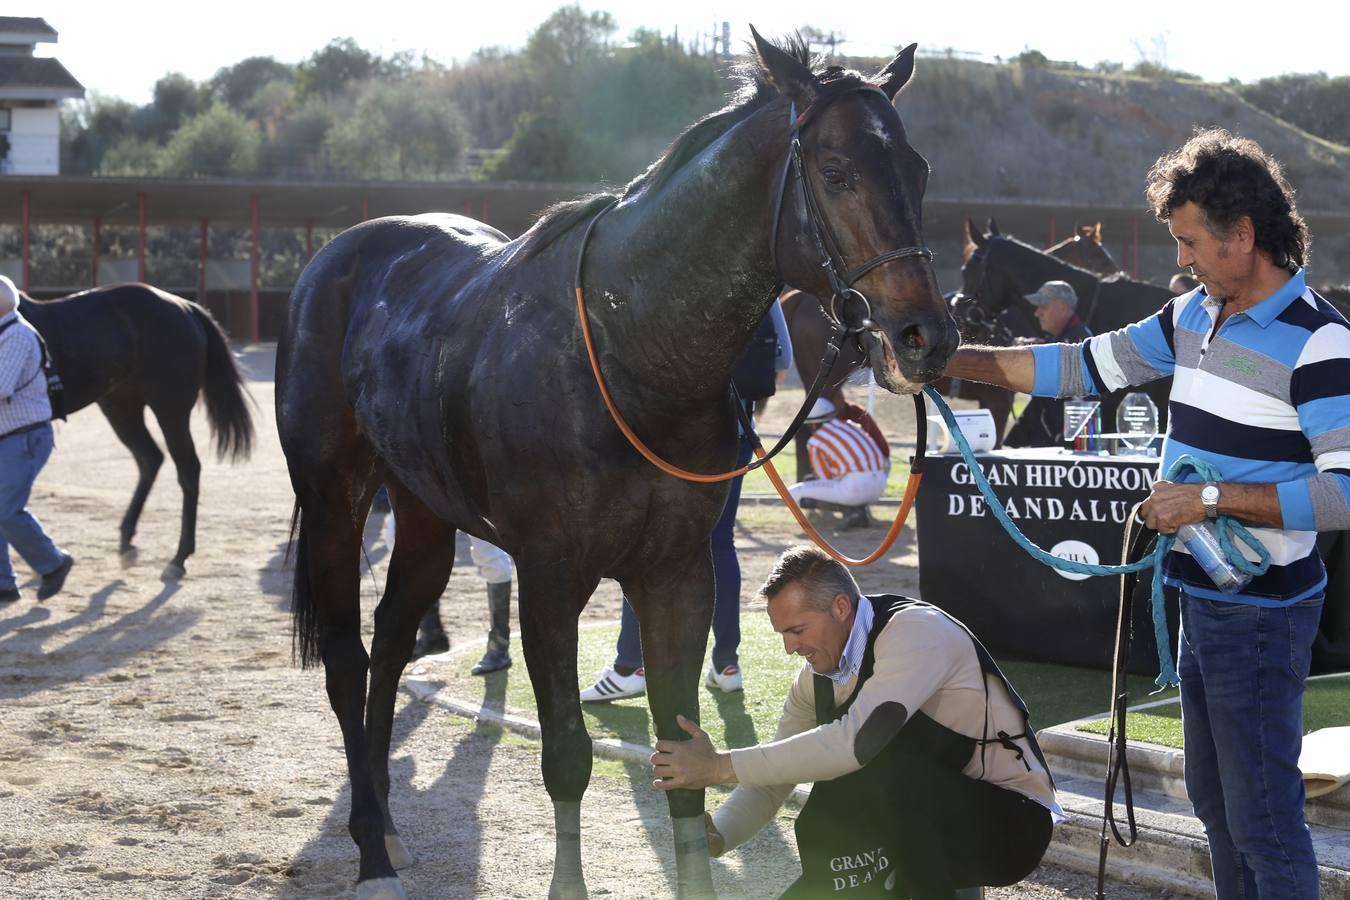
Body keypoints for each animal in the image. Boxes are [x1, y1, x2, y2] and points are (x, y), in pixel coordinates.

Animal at [23, 284, 253, 580]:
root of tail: (185, 307)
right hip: (120, 406)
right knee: (150, 458)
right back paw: (127, 542)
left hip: (170, 409)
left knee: (187, 468)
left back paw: (178, 557)